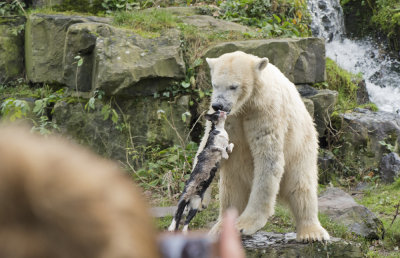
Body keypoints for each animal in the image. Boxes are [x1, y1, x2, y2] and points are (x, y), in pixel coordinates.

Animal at [198, 51, 332, 242]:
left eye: (233, 86)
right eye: (215, 84)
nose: (218, 105)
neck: (248, 103)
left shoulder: (267, 112)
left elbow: (268, 160)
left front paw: (244, 225)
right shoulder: (228, 119)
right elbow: (208, 147)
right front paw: (200, 197)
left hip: (302, 147)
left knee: (301, 186)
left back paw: (311, 232)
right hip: (235, 173)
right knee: (231, 193)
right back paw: (220, 228)